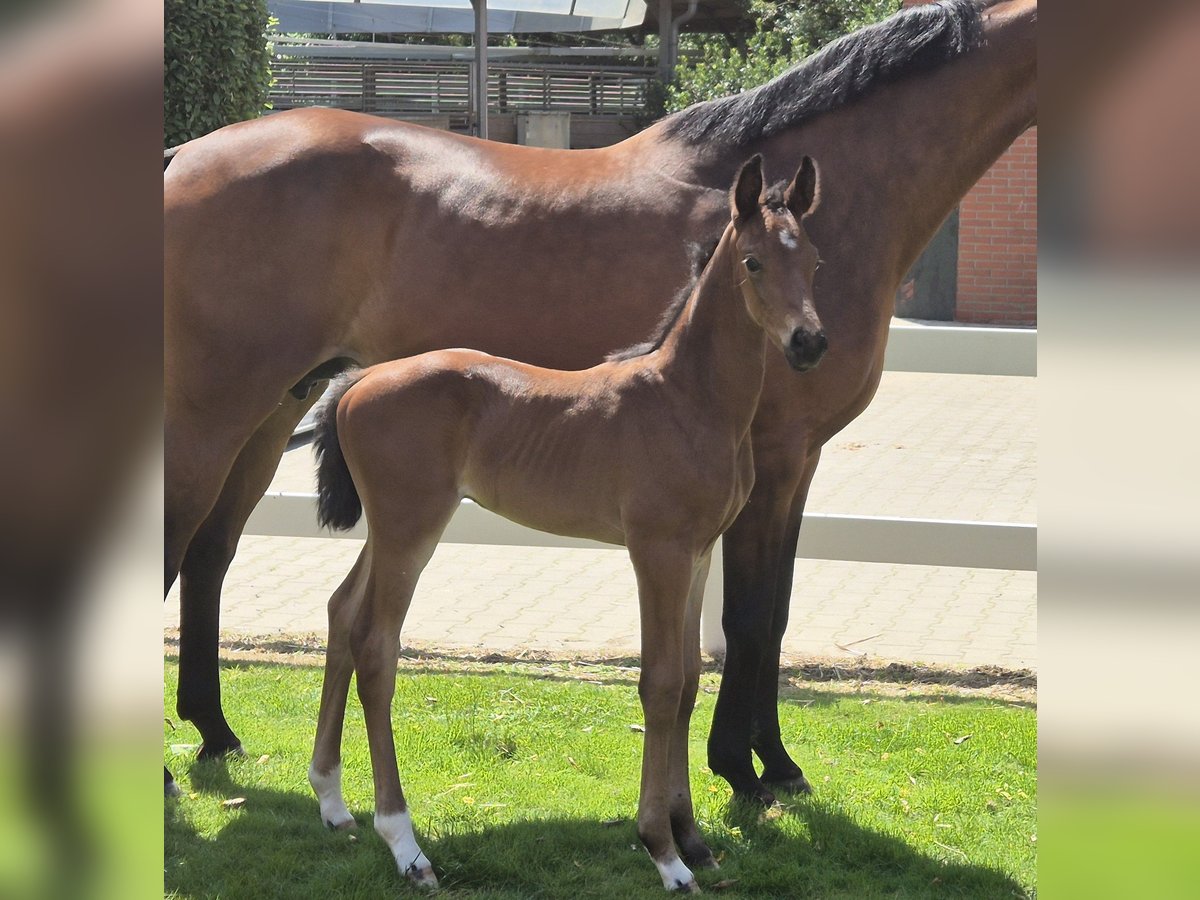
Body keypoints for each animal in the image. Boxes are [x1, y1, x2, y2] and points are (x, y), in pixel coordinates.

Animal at [164, 0, 1036, 801]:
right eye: (756, 264)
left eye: (813, 261)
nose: (806, 341)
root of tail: (180, 159)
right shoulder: (776, 457)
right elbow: (749, 618)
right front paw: (742, 768)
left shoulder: (797, 462)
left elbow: (775, 613)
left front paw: (774, 764)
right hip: (210, 418)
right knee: (174, 549)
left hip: (275, 410)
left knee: (210, 555)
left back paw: (215, 731)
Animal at [304, 157, 825, 897]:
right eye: (753, 262)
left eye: (813, 260)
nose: (810, 343)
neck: (690, 401)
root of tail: (359, 380)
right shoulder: (656, 552)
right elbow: (660, 684)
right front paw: (663, 851)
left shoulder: (698, 553)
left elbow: (690, 682)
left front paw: (694, 838)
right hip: (411, 529)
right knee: (376, 647)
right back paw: (405, 843)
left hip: (389, 528)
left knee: (342, 612)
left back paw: (331, 799)